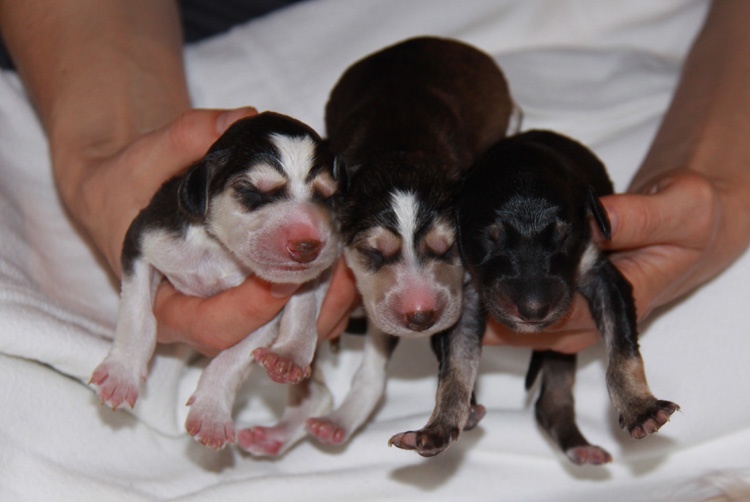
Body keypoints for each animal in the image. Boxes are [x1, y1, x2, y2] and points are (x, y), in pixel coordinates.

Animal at [89, 112, 344, 450]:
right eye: (253, 191)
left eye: (328, 196)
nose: (308, 244)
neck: (218, 250)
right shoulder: (142, 242)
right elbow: (138, 315)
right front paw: (120, 374)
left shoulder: (264, 314)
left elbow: (232, 359)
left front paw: (210, 414)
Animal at [302, 37, 516, 456]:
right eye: (373, 254)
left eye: (448, 249)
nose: (421, 317)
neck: (398, 149)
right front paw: (341, 417)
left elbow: (457, 359)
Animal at [458, 130, 680, 466]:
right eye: (489, 238)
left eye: (565, 235)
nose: (534, 310)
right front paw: (456, 409)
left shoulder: (602, 274)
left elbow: (622, 348)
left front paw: (640, 409)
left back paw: (581, 446)